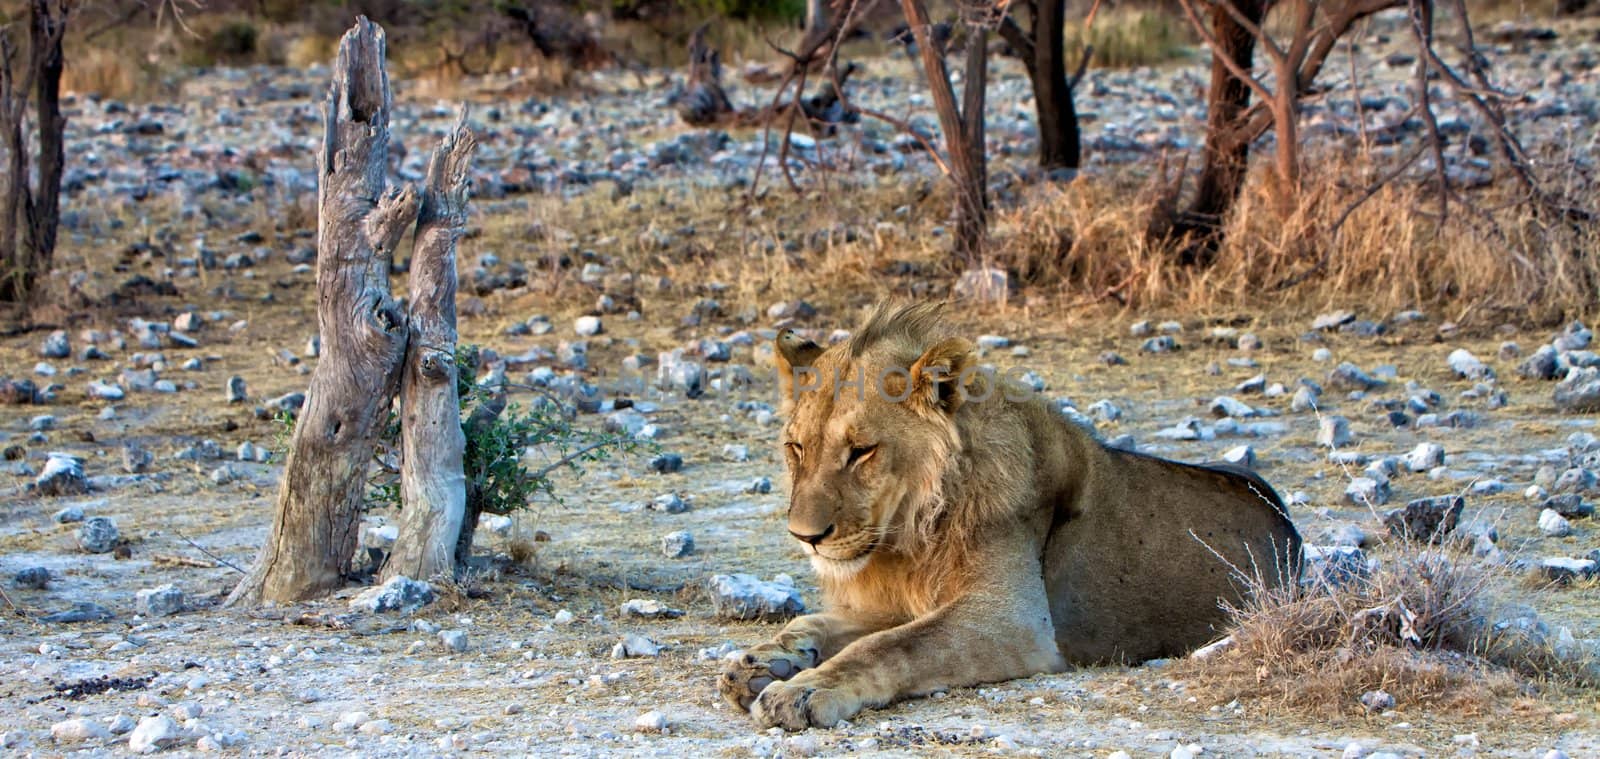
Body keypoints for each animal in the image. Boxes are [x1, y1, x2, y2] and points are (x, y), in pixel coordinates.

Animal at [720, 301, 1305, 730]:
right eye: (796, 448)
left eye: (861, 452)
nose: (804, 537)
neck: (911, 535)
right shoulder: (900, 599)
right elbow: (818, 622)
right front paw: (763, 662)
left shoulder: (1010, 618)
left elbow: (888, 645)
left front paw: (804, 689)